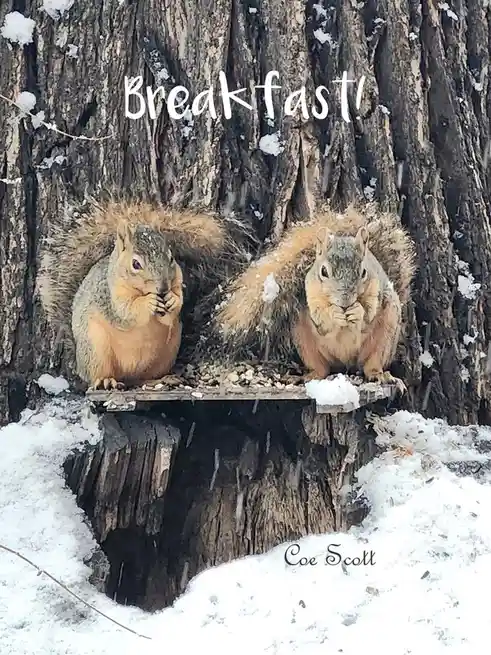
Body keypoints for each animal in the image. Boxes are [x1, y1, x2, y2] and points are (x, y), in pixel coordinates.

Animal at [38, 201, 248, 390]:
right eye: (136, 264)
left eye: (171, 258)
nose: (162, 289)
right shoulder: (109, 296)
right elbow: (125, 312)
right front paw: (147, 302)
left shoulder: (176, 283)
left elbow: (173, 310)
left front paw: (172, 300)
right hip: (95, 349)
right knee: (97, 375)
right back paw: (106, 381)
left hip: (165, 355)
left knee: (141, 379)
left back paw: (161, 380)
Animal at [211, 204, 416, 390]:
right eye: (324, 271)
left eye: (363, 271)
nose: (345, 302)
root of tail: (345, 365)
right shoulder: (311, 294)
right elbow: (322, 319)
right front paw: (334, 313)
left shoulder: (376, 289)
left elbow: (369, 314)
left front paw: (357, 311)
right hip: (304, 340)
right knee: (322, 369)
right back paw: (308, 376)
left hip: (385, 338)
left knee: (370, 365)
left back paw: (381, 375)